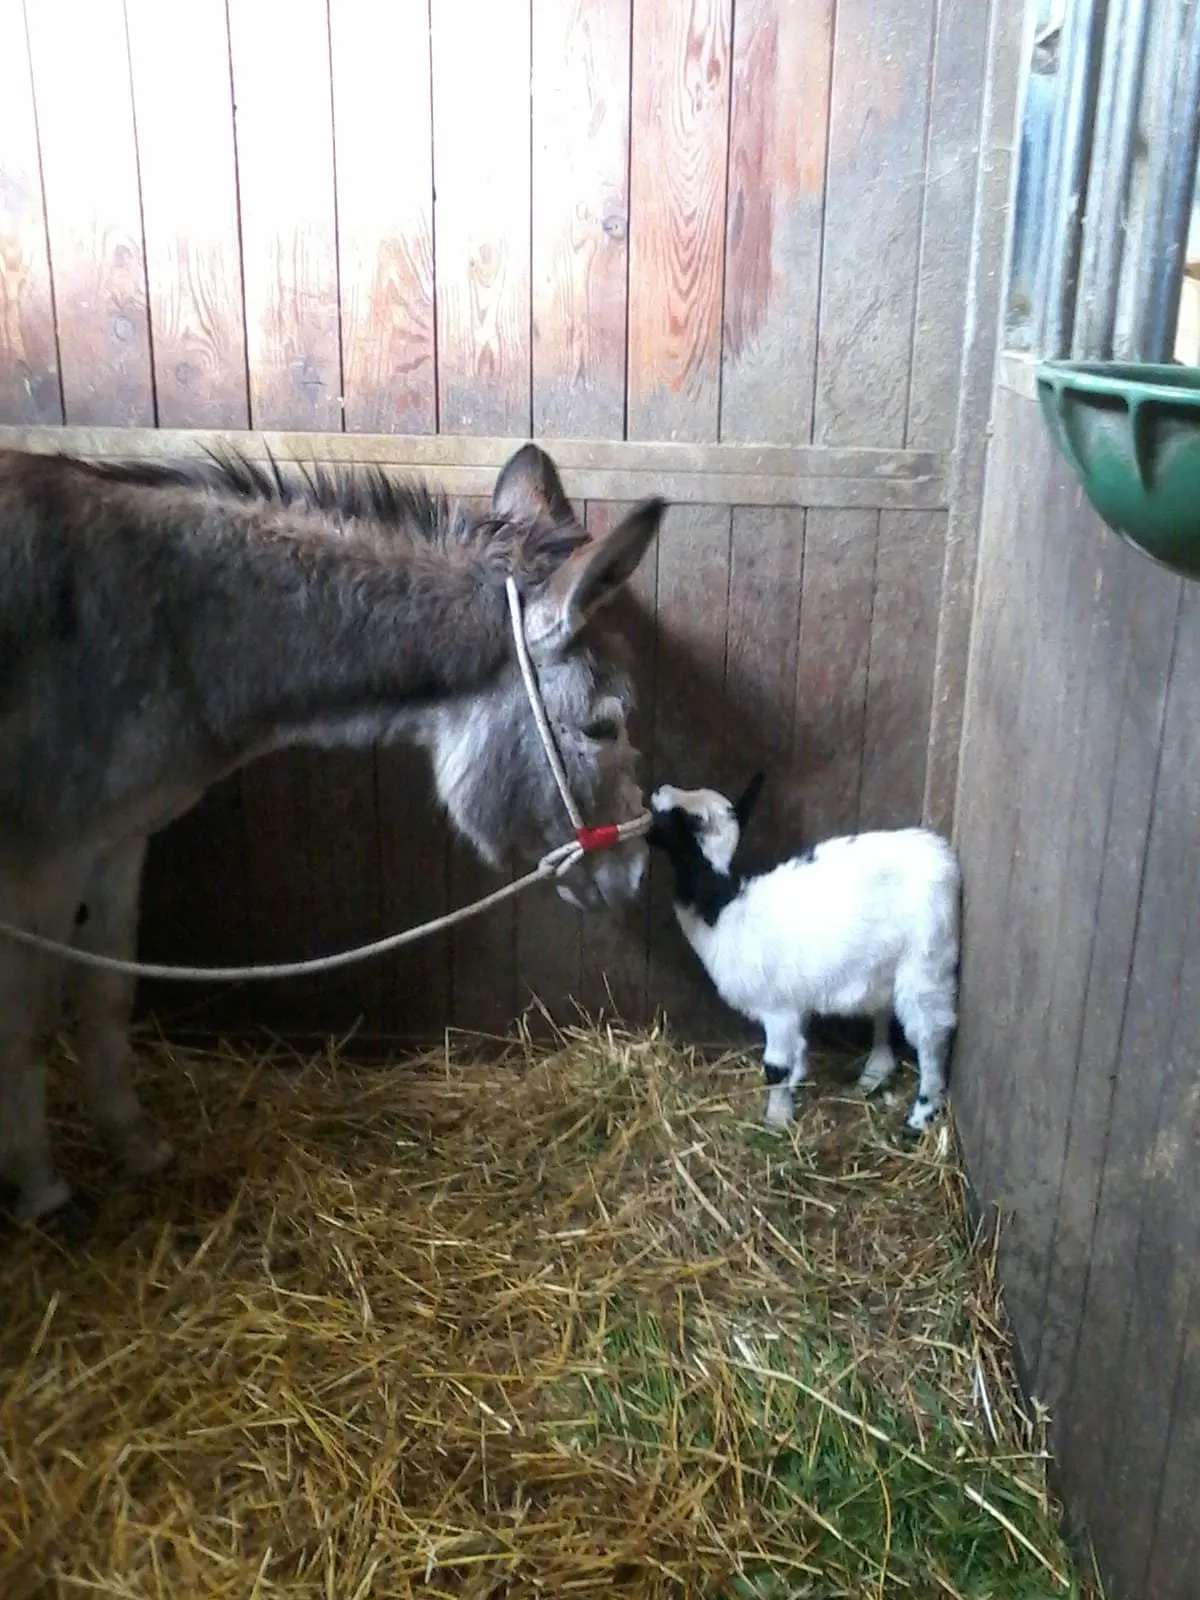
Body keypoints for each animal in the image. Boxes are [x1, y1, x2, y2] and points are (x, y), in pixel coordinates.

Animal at [647, 775, 961, 1132]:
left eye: (691, 820)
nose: (658, 790)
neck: (723, 911)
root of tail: (941, 854)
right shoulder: (794, 1004)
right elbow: (796, 1053)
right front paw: (794, 1089)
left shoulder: (777, 1007)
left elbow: (776, 1066)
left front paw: (776, 1121)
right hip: (884, 963)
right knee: (884, 1011)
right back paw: (875, 1073)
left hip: (928, 957)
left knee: (931, 1032)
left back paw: (920, 1115)